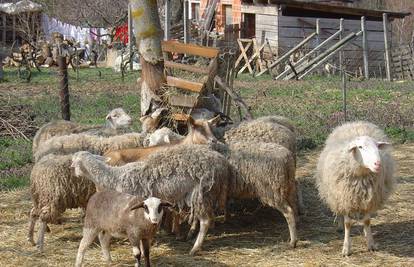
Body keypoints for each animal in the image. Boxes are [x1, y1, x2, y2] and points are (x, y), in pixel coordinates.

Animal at [72, 146, 233, 256]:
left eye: (74, 162)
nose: (74, 173)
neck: (114, 177)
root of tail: (222, 162)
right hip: (204, 195)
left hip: (202, 192)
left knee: (205, 221)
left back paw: (195, 248)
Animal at [316, 120, 396, 256]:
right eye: (360, 147)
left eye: (377, 147)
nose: (378, 164)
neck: (361, 176)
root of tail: (355, 123)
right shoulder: (345, 198)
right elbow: (348, 224)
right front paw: (346, 248)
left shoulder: (370, 198)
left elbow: (367, 221)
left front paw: (370, 243)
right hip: (336, 196)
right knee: (339, 212)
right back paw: (340, 226)